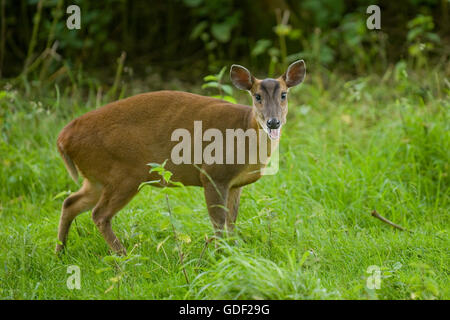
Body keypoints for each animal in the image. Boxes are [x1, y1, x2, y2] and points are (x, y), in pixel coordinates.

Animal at [54, 60, 304, 255]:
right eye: (257, 96)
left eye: (284, 95)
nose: (273, 122)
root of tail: (63, 138)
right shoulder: (213, 173)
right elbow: (218, 222)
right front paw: (221, 255)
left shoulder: (236, 184)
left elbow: (231, 221)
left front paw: (235, 252)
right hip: (125, 173)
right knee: (99, 214)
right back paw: (124, 255)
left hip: (97, 177)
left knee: (70, 202)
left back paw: (60, 252)